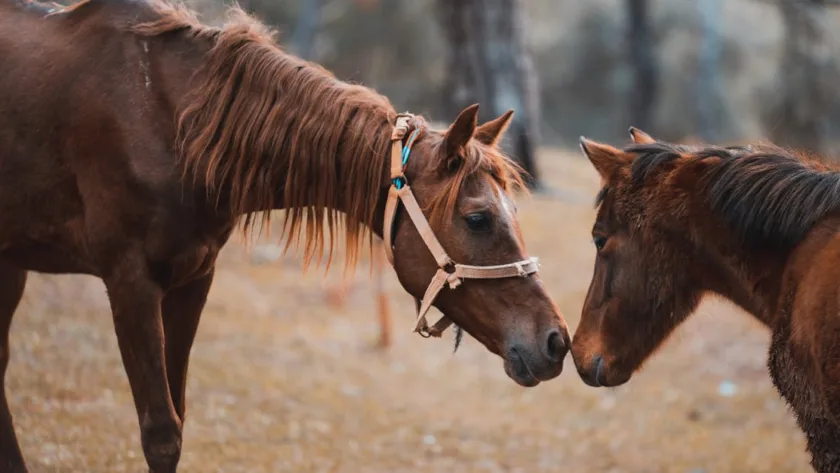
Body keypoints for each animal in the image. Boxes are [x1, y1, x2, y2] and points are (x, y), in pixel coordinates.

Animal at [0, 1, 570, 471]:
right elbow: (161, 434)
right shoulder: (129, 283)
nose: (556, 341)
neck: (171, 122)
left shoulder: (192, 280)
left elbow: (177, 421)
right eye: (478, 219)